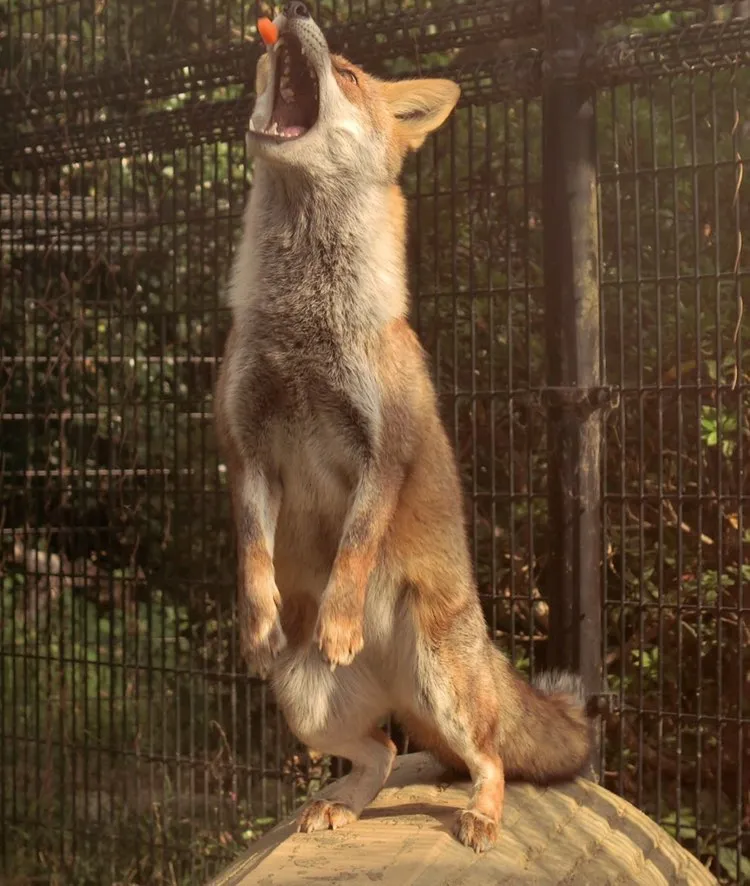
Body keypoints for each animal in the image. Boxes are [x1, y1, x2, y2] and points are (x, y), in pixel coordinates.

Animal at [214, 1, 594, 854]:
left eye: (349, 74)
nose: (289, 16)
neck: (302, 330)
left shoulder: (382, 450)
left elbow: (356, 543)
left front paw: (340, 619)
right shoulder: (248, 450)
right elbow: (253, 548)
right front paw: (257, 617)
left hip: (441, 681)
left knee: (488, 759)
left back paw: (482, 815)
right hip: (305, 702)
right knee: (385, 752)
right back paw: (343, 802)